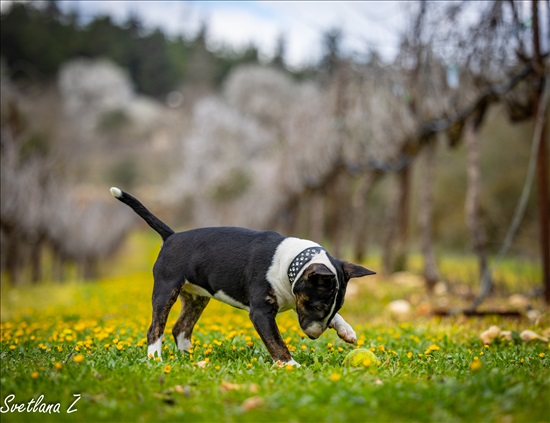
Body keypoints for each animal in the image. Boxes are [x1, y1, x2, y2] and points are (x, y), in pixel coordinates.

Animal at [112, 187, 380, 366]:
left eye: (335, 307)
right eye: (318, 306)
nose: (314, 336)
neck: (290, 262)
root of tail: (171, 236)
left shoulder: (295, 296)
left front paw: (346, 330)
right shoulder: (261, 312)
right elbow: (276, 341)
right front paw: (290, 365)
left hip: (197, 297)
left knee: (181, 328)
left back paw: (189, 358)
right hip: (166, 288)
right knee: (156, 327)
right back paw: (155, 357)